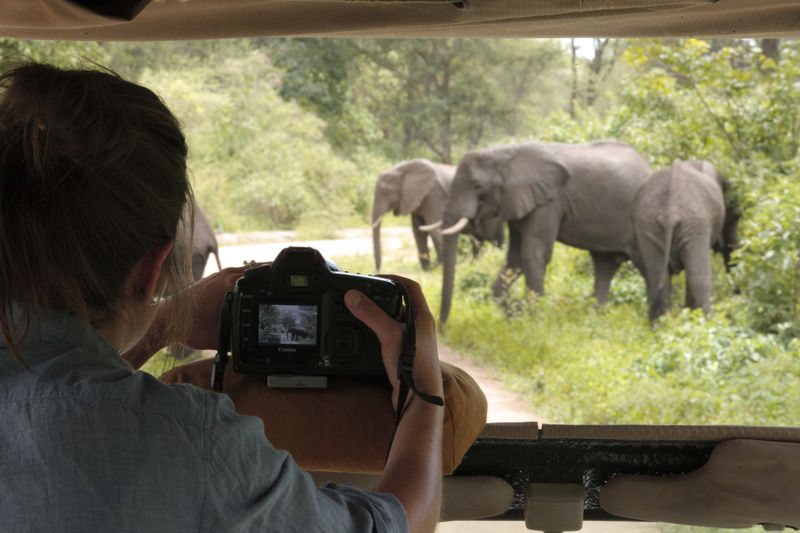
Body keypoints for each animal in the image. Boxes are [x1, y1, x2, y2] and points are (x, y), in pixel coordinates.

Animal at [437, 140, 653, 325]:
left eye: (477, 185)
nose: (442, 327)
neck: (505, 153)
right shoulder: (520, 201)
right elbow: (515, 259)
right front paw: (515, 317)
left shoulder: (549, 201)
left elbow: (534, 254)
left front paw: (533, 324)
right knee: (605, 266)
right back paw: (594, 322)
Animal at [631, 159, 739, 321]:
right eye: (735, 219)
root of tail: (670, 211)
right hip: (694, 222)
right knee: (699, 279)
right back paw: (706, 321)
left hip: (648, 224)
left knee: (657, 279)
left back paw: (662, 324)